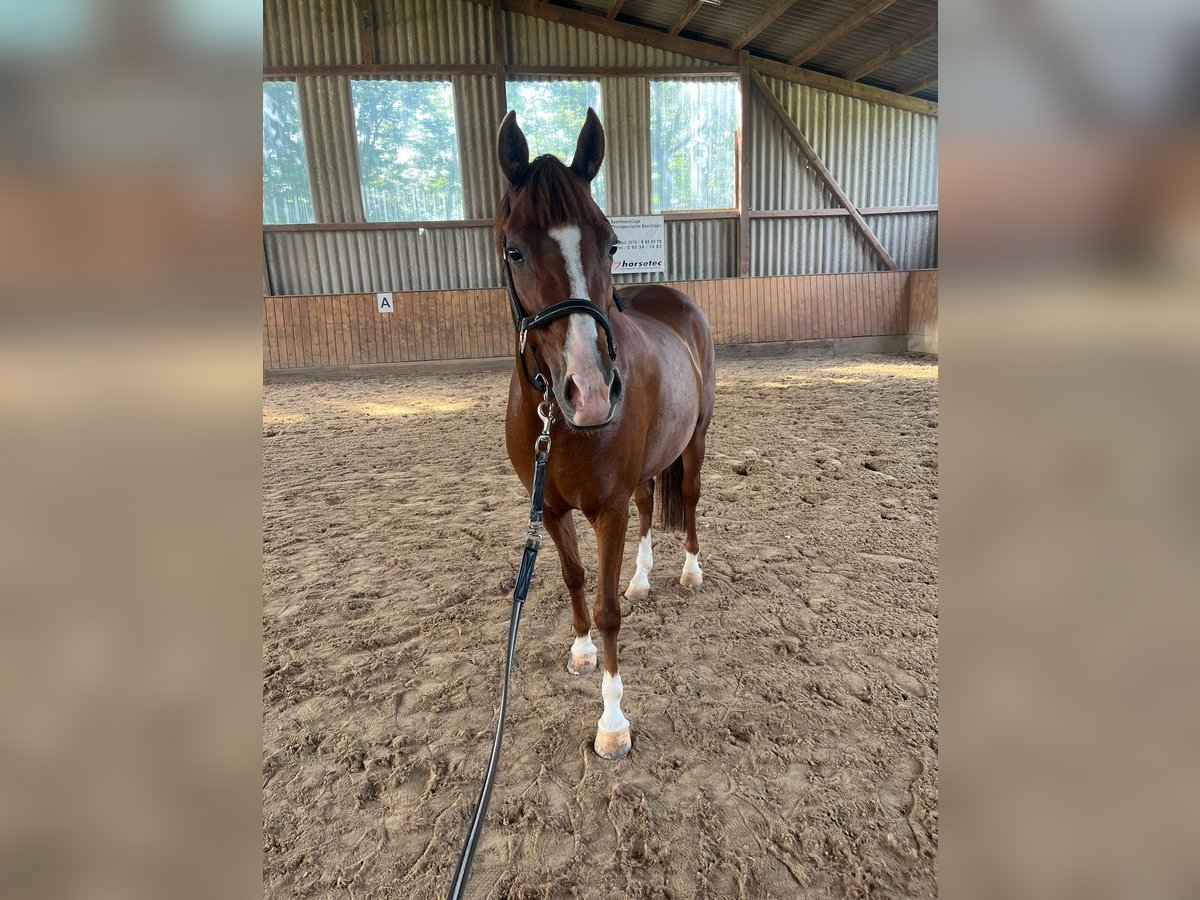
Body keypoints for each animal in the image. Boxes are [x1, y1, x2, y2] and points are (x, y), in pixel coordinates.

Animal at [494, 111, 710, 763]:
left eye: (611, 242)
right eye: (514, 250)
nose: (589, 392)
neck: (559, 426)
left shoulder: (605, 509)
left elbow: (608, 609)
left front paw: (613, 722)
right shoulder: (550, 508)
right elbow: (574, 581)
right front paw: (582, 650)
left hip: (696, 441)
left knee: (689, 500)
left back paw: (690, 571)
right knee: (648, 506)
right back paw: (642, 579)